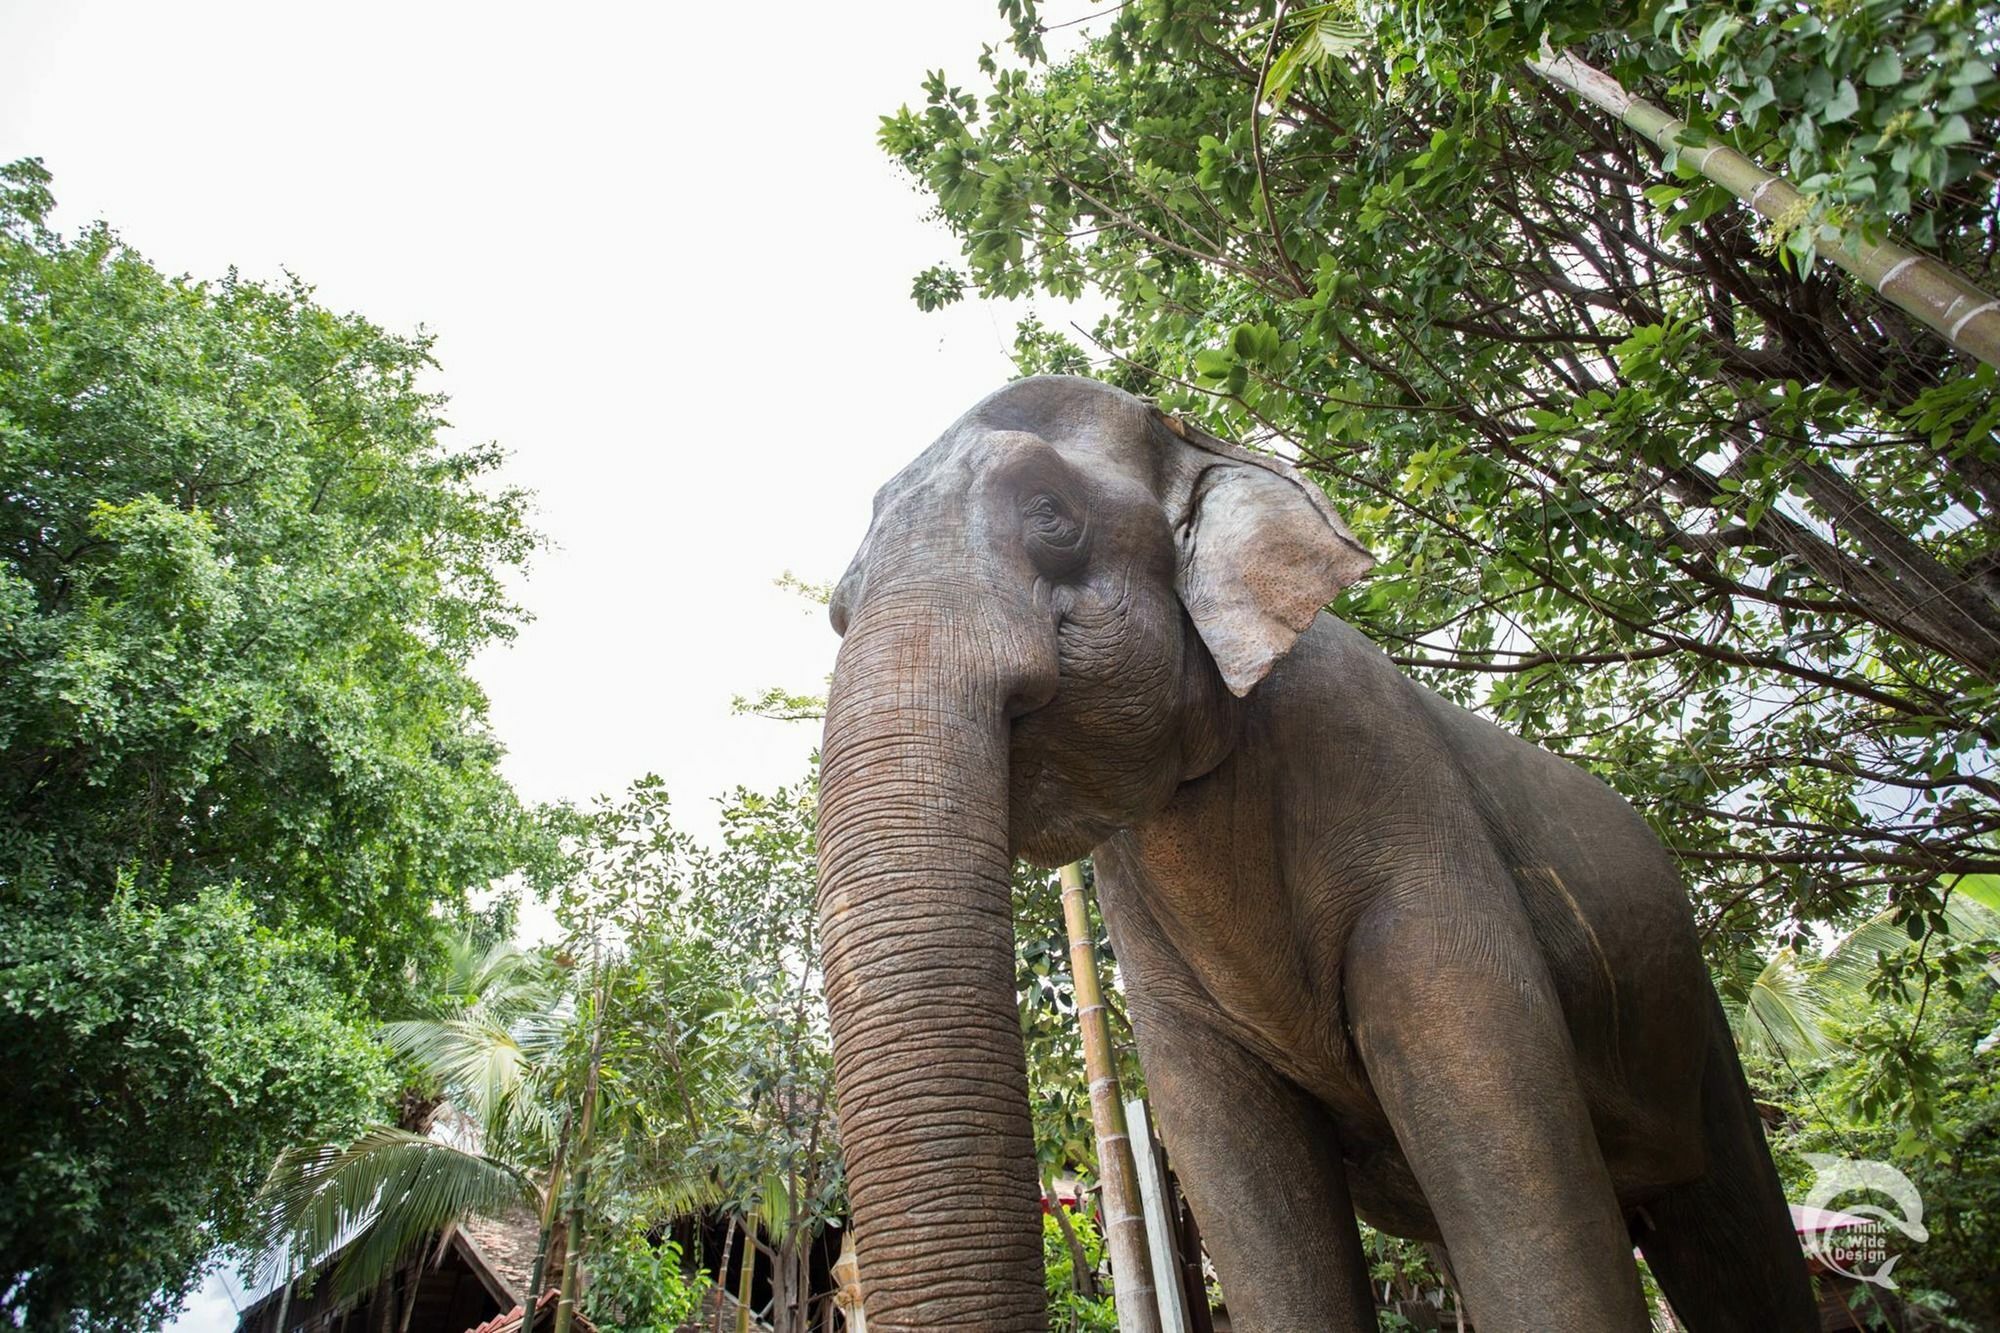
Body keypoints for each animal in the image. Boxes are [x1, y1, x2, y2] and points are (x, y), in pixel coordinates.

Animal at [816, 374, 1832, 1328]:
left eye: (1050, 514)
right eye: (837, 610)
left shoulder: (1406, 812)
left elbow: (1502, 1137)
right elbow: (1238, 1171)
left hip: (1698, 1019)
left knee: (1736, 1244)